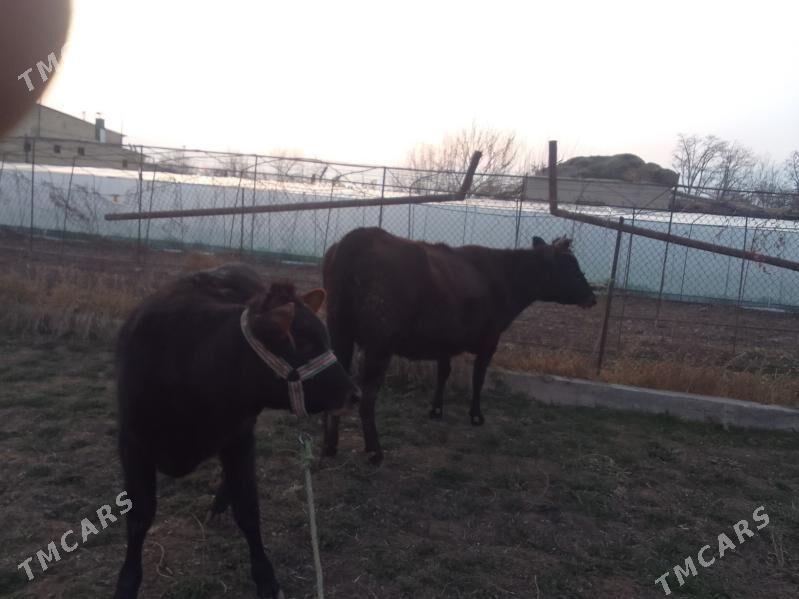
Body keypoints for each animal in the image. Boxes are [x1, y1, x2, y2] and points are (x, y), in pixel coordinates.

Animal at [113, 265, 358, 599]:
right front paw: (127, 582)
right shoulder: (132, 443)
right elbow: (139, 517)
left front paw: (266, 579)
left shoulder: (239, 436)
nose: (353, 394)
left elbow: (248, 510)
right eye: (306, 344)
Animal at [321, 227, 596, 465]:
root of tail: (358, 237)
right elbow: (478, 378)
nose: (592, 297)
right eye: (570, 265)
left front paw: (436, 410)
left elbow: (443, 373)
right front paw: (476, 415)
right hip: (379, 343)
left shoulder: (445, 341)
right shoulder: (490, 340)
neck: (505, 278)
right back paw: (375, 452)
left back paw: (329, 447)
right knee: (368, 397)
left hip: (338, 333)